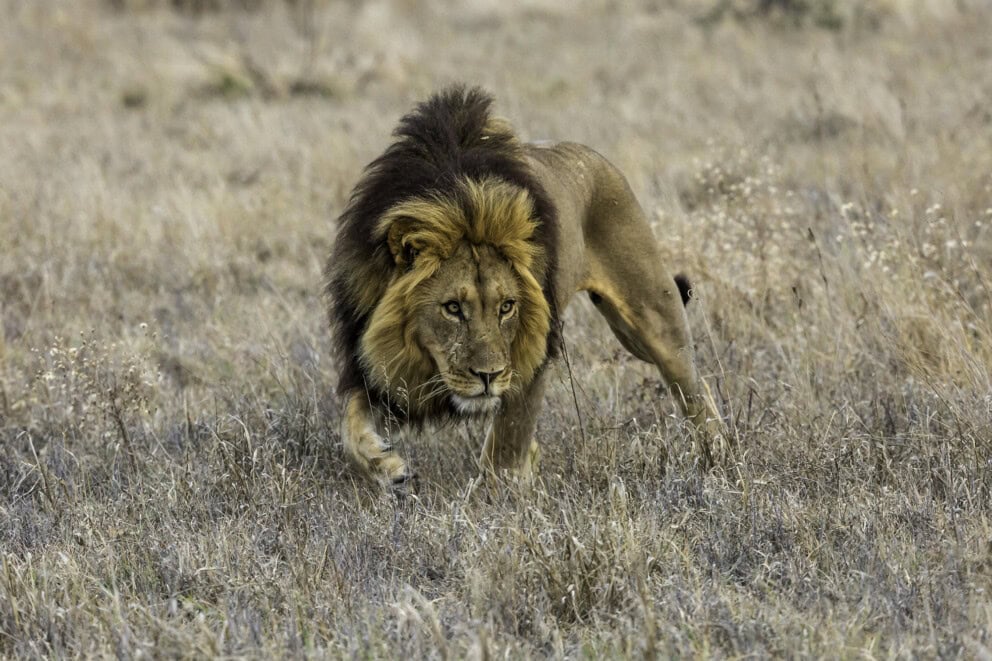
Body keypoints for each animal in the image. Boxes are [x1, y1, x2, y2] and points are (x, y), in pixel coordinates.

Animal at [326, 86, 723, 491]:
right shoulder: (375, 365)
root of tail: (592, 156)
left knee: (694, 388)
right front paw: (387, 466)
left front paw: (497, 492)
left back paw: (717, 458)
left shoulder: (531, 355)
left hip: (650, 317)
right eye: (452, 307)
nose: (487, 377)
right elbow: (350, 427)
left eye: (507, 306)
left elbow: (507, 441)